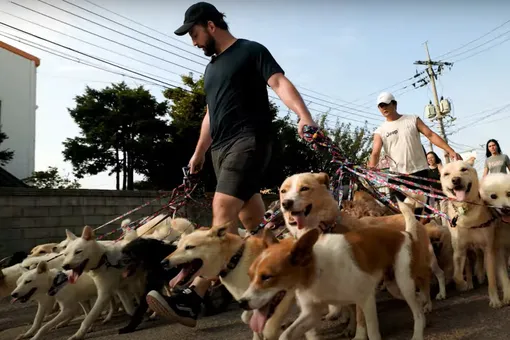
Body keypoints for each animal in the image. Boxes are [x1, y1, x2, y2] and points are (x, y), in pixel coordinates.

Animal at [239, 201, 426, 340]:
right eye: (249, 275)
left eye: (267, 277)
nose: (242, 302)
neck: (317, 271)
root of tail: (405, 234)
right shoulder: (311, 314)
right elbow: (286, 334)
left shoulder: (366, 300)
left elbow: (371, 332)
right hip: (394, 286)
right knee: (418, 302)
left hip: (404, 283)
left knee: (416, 310)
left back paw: (418, 332)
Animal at [438, 161, 510, 306]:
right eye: (446, 174)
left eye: (463, 169)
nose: (456, 179)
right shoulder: (459, 251)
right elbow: (456, 276)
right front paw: (463, 284)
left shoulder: (490, 250)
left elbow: (492, 280)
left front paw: (495, 300)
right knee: (468, 267)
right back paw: (471, 282)